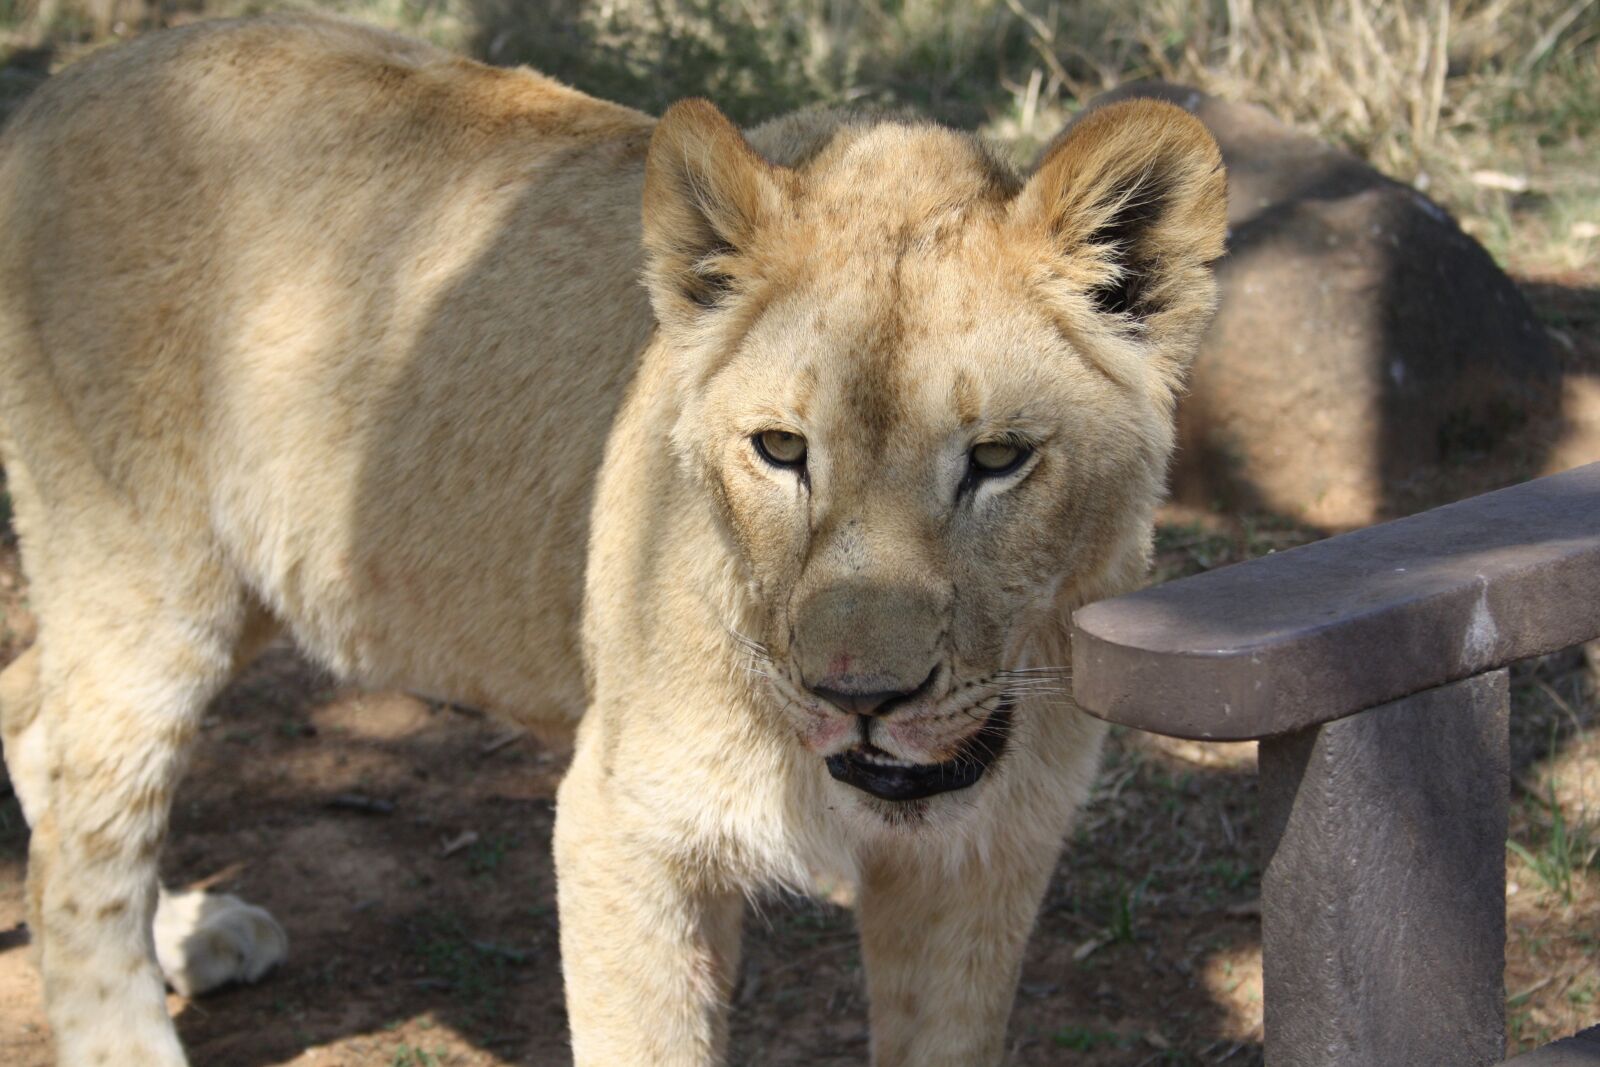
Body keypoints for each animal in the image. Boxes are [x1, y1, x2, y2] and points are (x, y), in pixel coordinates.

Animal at [0, 12, 1225, 1066]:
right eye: (782, 450)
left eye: (998, 458)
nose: (859, 695)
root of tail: (62, 88)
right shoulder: (621, 825)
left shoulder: (984, 858)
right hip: (145, 573)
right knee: (80, 836)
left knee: (32, 717)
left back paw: (187, 930)